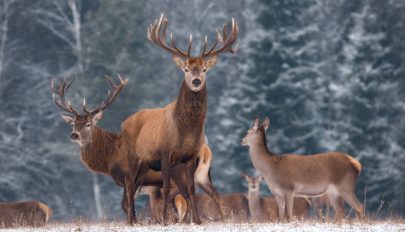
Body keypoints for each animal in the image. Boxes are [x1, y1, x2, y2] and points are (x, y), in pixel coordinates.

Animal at [121, 13, 238, 224]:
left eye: (204, 69)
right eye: (186, 69)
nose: (196, 81)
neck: (186, 132)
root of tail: (124, 122)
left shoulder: (190, 157)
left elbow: (190, 189)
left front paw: (197, 220)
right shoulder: (165, 153)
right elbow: (167, 188)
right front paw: (164, 219)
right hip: (131, 154)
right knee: (129, 182)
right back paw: (131, 219)